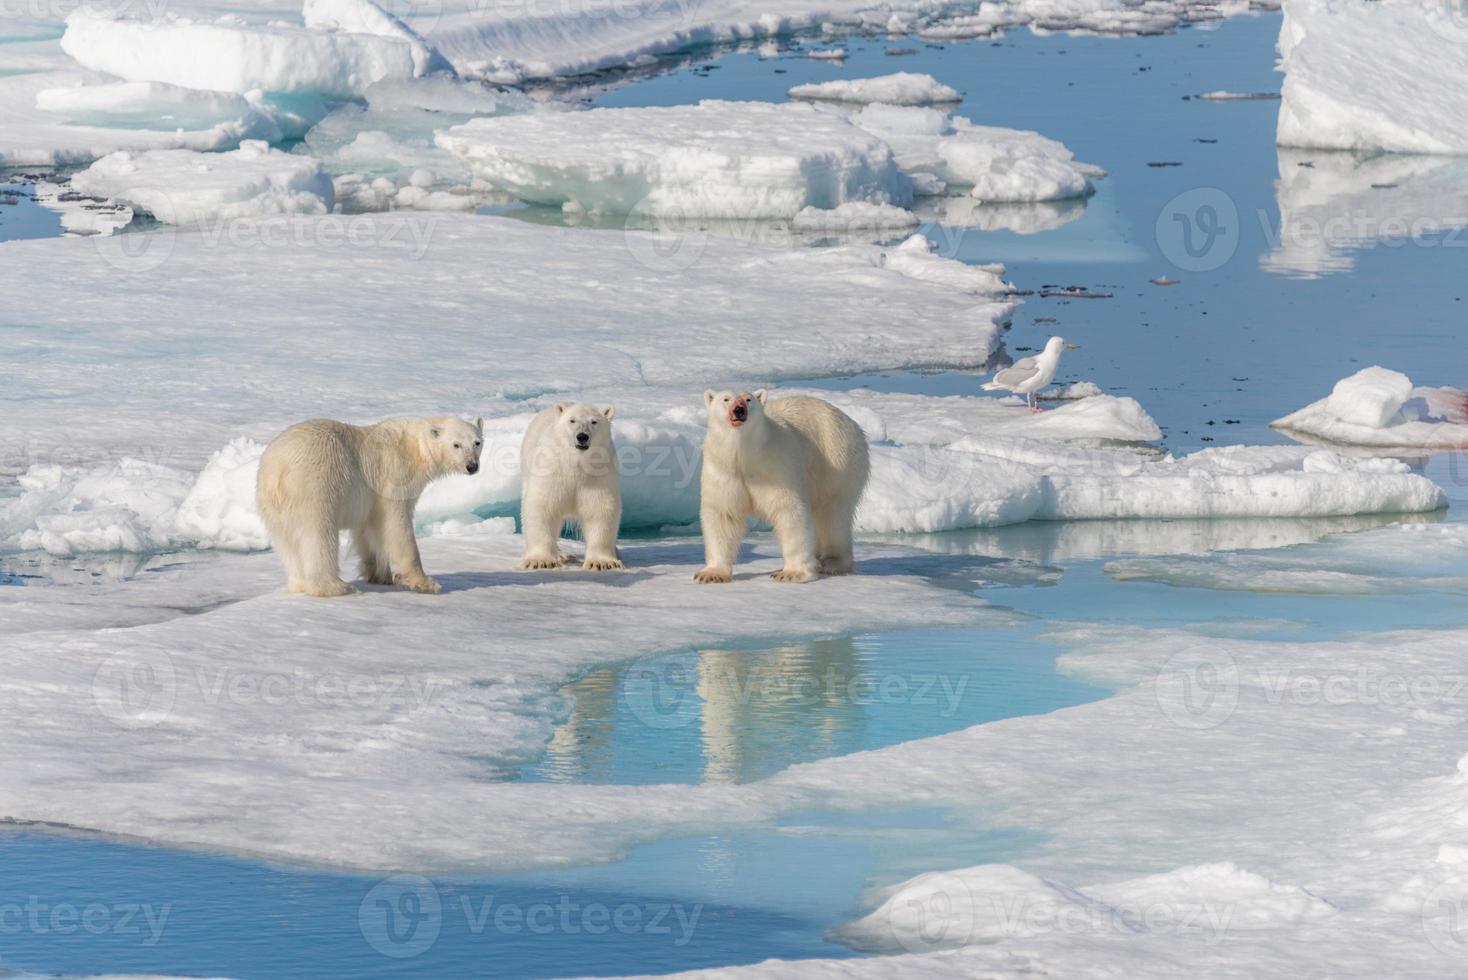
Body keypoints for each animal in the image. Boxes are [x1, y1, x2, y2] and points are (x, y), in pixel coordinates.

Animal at [253, 416, 481, 598]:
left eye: (477, 442)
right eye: (456, 445)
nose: (472, 466)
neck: (414, 448)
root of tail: (276, 470)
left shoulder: (369, 499)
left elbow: (368, 529)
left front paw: (380, 575)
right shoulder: (394, 476)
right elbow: (396, 526)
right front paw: (425, 583)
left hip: (271, 505)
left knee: (287, 543)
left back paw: (300, 583)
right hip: (314, 486)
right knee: (318, 535)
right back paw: (335, 587)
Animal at [516, 401, 619, 569]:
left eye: (594, 421)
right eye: (572, 420)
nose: (582, 436)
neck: (576, 463)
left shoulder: (598, 477)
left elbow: (599, 510)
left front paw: (602, 562)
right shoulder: (551, 472)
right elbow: (542, 507)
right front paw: (539, 560)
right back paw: (561, 555)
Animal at [692, 390, 863, 586]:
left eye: (748, 399)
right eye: (726, 399)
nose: (739, 409)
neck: (744, 456)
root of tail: (849, 420)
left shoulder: (775, 466)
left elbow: (788, 512)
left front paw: (791, 573)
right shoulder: (723, 469)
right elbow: (723, 516)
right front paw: (710, 574)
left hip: (837, 461)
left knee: (832, 514)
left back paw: (831, 562)